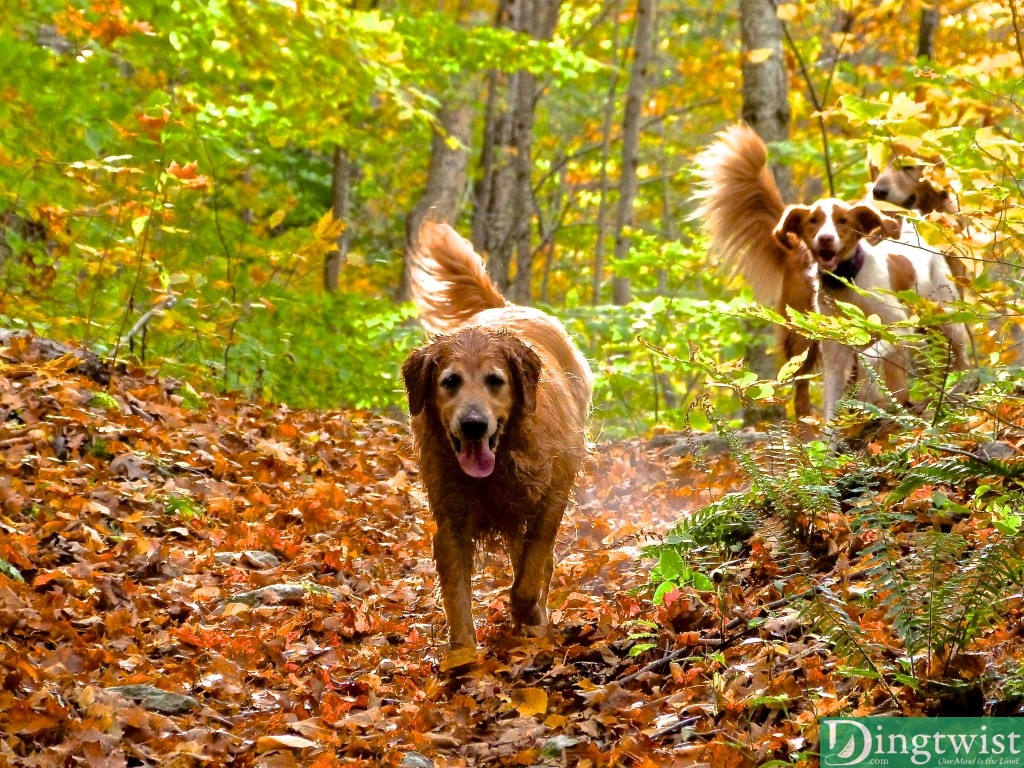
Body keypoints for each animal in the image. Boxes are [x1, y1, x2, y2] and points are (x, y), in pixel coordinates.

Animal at [399, 222, 593, 651]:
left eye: (495, 381)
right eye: (450, 382)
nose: (473, 424)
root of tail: (505, 305)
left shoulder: (551, 497)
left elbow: (529, 575)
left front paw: (530, 615)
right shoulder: (451, 518)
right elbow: (457, 596)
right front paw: (463, 655)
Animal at [692, 126, 970, 428]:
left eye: (907, 166)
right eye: (812, 221)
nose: (879, 192)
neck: (845, 282)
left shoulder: (900, 327)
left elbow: (877, 362)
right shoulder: (838, 348)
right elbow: (844, 387)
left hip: (943, 316)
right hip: (801, 334)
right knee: (801, 388)